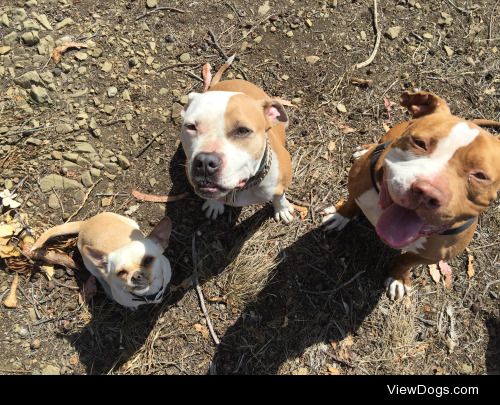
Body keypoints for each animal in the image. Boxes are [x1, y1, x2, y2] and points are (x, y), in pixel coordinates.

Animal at [31, 213, 173, 308]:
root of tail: (85, 223)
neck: (148, 293)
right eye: (121, 272)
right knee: (99, 277)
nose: (136, 275)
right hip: (91, 265)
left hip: (131, 222)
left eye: (148, 260)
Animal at [180, 56, 294, 223]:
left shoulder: (280, 184)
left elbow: (279, 196)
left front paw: (282, 208)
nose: (205, 162)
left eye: (243, 131)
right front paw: (214, 204)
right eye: (191, 126)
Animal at [322, 92, 498, 300]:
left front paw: (399, 278)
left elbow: (406, 261)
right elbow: (350, 204)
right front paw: (338, 216)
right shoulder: (357, 185)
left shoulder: (432, 255)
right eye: (420, 143)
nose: (427, 192)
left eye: (480, 176)